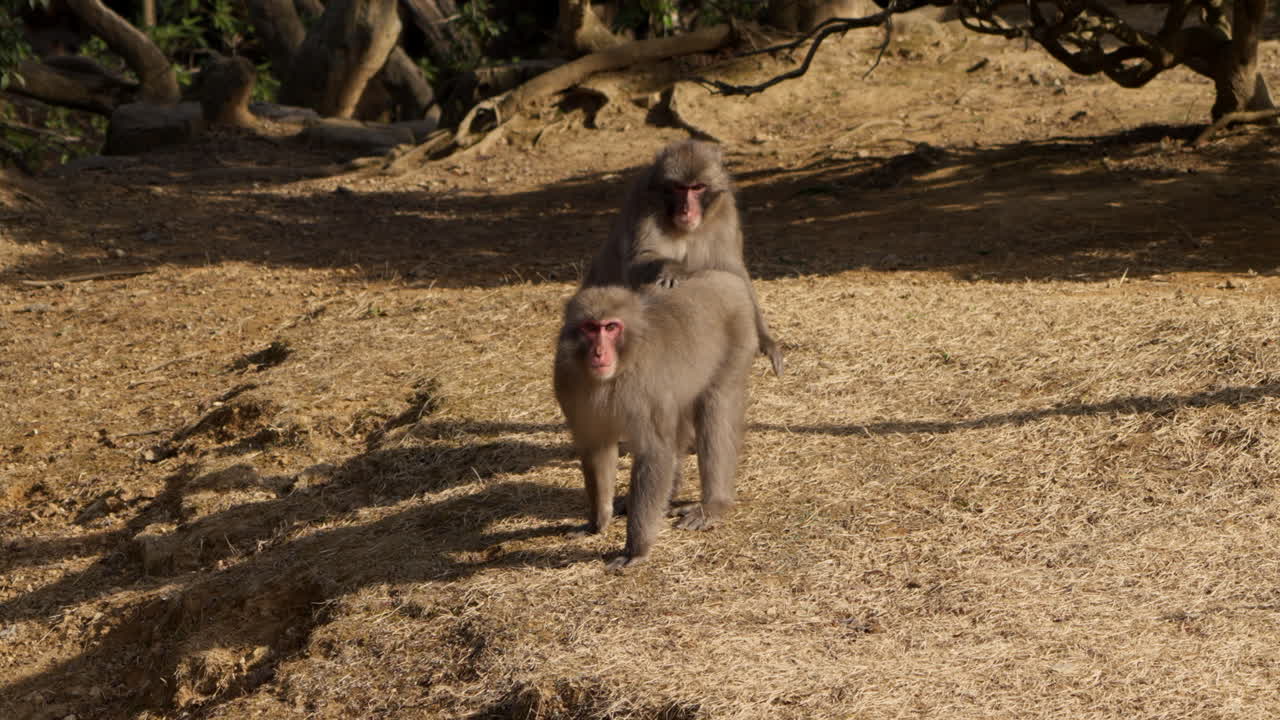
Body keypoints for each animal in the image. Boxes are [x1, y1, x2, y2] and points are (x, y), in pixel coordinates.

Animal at [552, 271, 752, 568]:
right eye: (590, 328)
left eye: (611, 327)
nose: (599, 353)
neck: (616, 374)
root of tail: (723, 276)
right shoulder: (568, 382)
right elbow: (596, 447)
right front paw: (596, 523)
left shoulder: (644, 387)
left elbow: (654, 452)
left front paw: (635, 550)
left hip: (737, 343)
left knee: (715, 408)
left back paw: (713, 504)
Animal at [586, 136, 783, 379]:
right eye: (679, 188)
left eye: (697, 187)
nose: (686, 210)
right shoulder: (643, 200)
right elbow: (636, 263)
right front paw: (672, 270)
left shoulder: (725, 209)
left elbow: (733, 272)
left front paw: (765, 340)